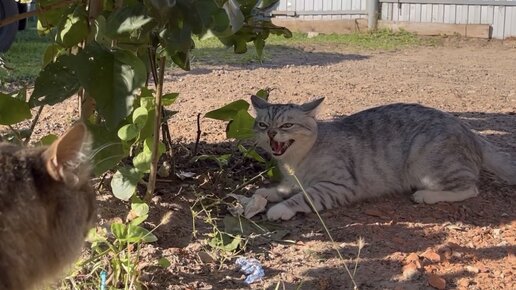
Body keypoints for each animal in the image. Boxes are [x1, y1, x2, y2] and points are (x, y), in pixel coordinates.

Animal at [251, 96, 516, 221]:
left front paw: (280, 208)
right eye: (263, 125)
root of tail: (470, 131)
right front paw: (264, 194)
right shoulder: (292, 180)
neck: (293, 163)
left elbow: (303, 196)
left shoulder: (338, 185)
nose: (271, 133)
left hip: (426, 164)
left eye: (286, 125)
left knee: (469, 188)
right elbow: (283, 188)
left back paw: (425, 195)